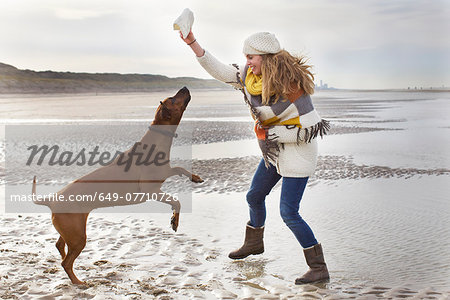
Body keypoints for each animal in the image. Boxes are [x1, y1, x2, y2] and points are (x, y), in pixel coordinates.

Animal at [30, 86, 202, 284]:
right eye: (172, 99)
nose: (185, 87)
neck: (158, 138)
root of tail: (51, 200)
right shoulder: (151, 190)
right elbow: (176, 201)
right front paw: (175, 221)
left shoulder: (165, 173)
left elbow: (180, 168)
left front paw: (195, 177)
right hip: (78, 236)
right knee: (66, 263)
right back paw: (78, 283)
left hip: (70, 229)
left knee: (59, 246)